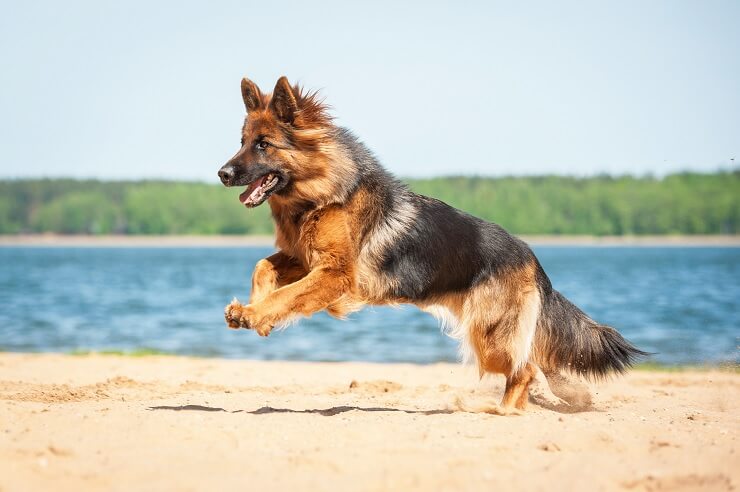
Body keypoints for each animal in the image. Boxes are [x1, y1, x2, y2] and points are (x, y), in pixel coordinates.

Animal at [217, 76, 644, 416]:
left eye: (264, 145)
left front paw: (256, 313)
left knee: (524, 369)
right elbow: (263, 267)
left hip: (489, 337)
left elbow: (288, 294)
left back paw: (501, 411)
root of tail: (533, 260)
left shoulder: (334, 273)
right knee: (532, 366)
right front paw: (253, 310)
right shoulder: (305, 260)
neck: (320, 193)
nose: (222, 173)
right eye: (242, 142)